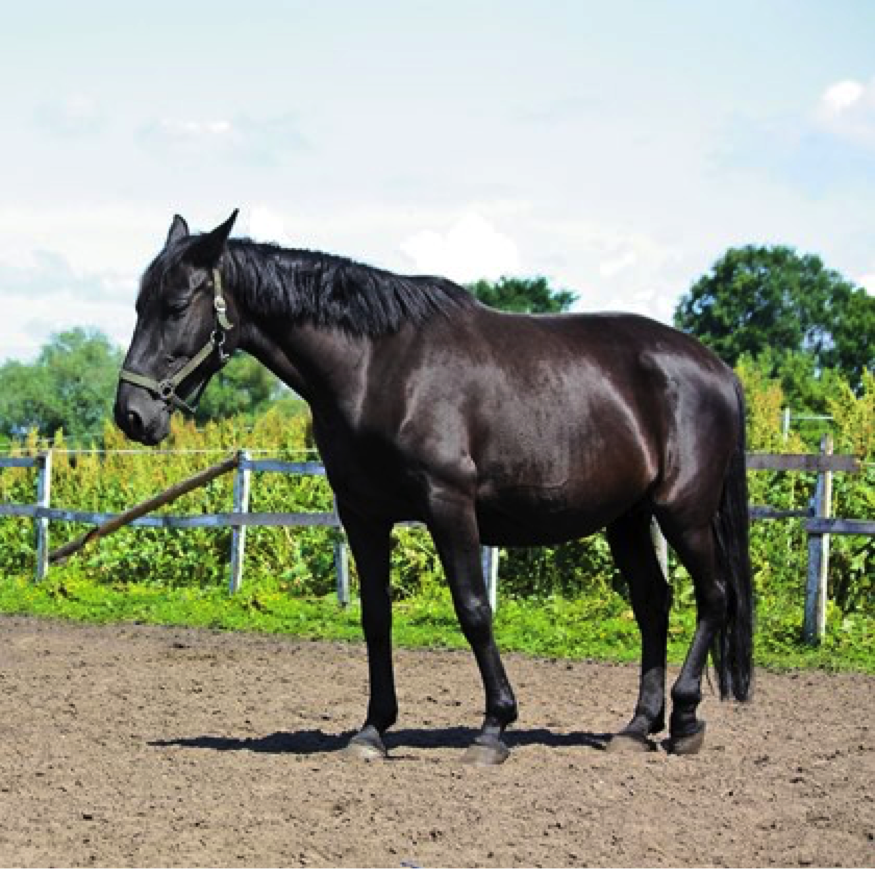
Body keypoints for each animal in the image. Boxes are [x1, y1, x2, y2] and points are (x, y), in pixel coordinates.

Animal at [114, 211, 754, 764]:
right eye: (139, 304)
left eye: (176, 305)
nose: (132, 416)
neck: (379, 367)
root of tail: (716, 369)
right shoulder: (363, 515)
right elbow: (375, 616)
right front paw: (372, 730)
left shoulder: (450, 507)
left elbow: (474, 610)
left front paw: (494, 727)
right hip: (626, 518)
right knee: (653, 602)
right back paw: (638, 726)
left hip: (683, 512)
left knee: (714, 596)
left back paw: (685, 720)